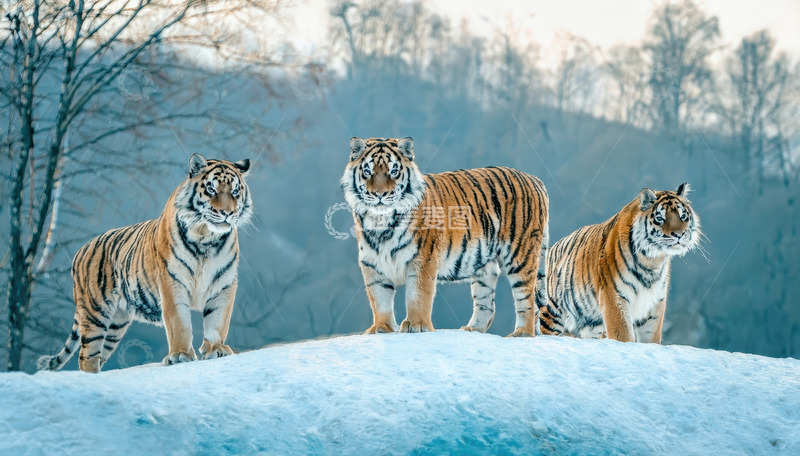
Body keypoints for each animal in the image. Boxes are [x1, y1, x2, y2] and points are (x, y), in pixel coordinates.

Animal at [37, 154, 252, 373]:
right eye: (211, 189)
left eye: (235, 191)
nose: (227, 213)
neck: (206, 237)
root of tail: (79, 251)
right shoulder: (171, 281)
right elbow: (179, 322)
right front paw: (180, 355)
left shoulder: (223, 283)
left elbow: (218, 321)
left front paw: (216, 349)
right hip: (95, 313)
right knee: (86, 356)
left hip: (116, 325)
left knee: (99, 355)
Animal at [341, 137, 549, 336]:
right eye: (367, 171)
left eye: (394, 171)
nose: (379, 194)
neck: (380, 223)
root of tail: (535, 179)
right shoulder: (372, 264)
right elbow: (379, 299)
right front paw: (381, 327)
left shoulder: (422, 260)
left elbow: (418, 295)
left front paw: (416, 325)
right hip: (484, 267)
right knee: (487, 303)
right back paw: (473, 330)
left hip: (520, 255)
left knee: (527, 298)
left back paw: (523, 333)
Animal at [540, 183, 700, 343]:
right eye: (660, 218)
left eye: (683, 216)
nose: (679, 235)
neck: (652, 260)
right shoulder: (615, 299)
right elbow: (623, 336)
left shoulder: (654, 304)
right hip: (551, 312)